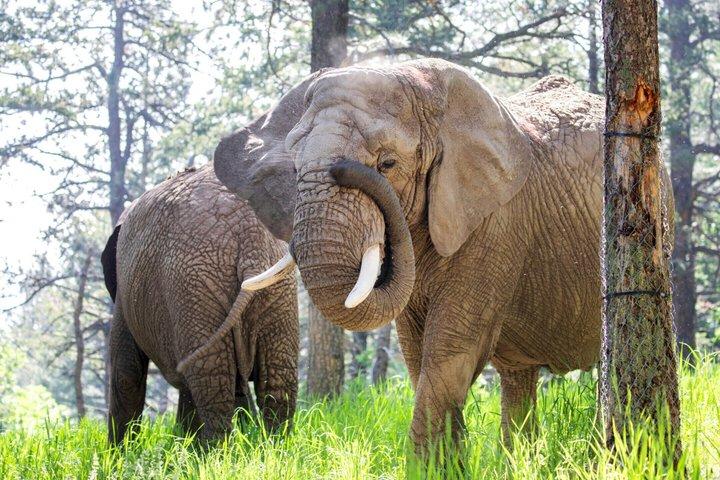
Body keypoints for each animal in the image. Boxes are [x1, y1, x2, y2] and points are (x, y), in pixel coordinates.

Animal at [100, 164, 298, 444]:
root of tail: (249, 237)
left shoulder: (124, 296)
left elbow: (126, 371)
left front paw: (119, 454)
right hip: (275, 290)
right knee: (276, 380)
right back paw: (273, 447)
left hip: (193, 286)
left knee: (211, 380)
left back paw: (215, 453)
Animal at [212, 59, 674, 449]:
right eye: (294, 170)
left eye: (387, 163)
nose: (344, 168)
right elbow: (417, 355)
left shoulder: (497, 223)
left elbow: (451, 348)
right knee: (517, 377)